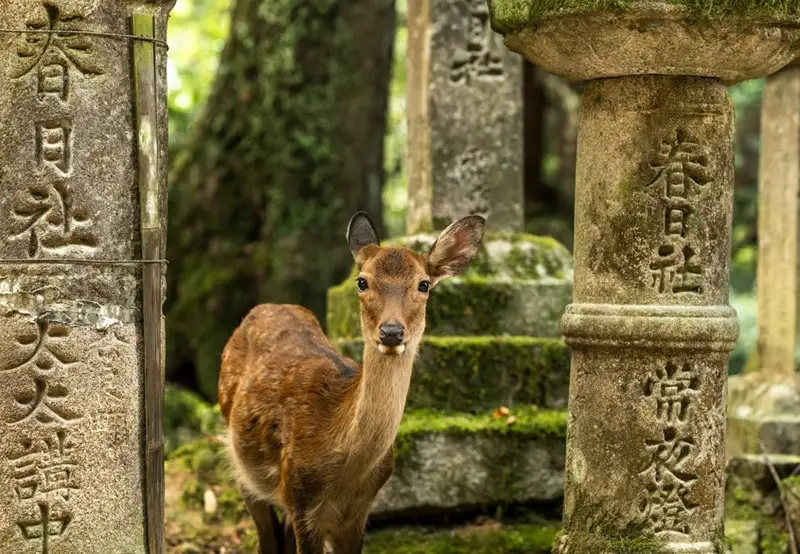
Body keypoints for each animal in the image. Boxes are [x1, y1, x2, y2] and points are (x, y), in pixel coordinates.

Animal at [217, 211, 486, 554]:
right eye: (362, 281)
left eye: (424, 284)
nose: (391, 331)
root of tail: (268, 306)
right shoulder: (301, 498)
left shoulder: (357, 513)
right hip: (239, 461)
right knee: (267, 538)